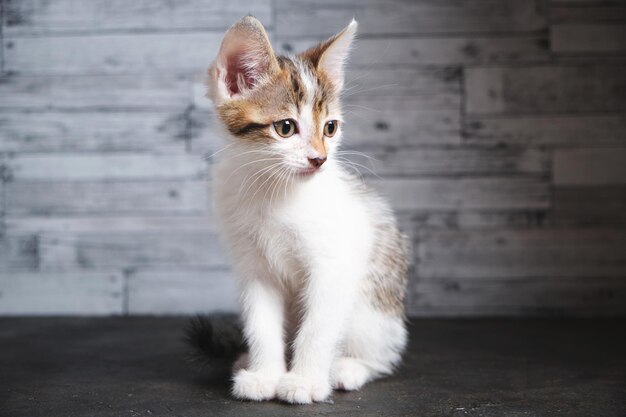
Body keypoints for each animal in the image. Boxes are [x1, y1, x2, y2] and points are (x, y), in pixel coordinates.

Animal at [207, 16, 408, 404]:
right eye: (285, 127)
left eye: (330, 128)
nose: (320, 159)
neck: (274, 190)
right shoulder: (254, 268)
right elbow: (261, 322)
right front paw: (266, 375)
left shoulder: (334, 265)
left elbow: (318, 327)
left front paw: (305, 380)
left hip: (373, 308)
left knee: (384, 355)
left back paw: (348, 368)